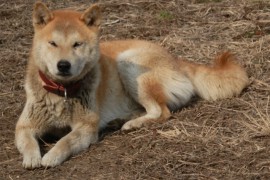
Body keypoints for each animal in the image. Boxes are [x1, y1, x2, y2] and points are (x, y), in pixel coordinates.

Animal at [15, 2, 249, 169]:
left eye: (77, 44)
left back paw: (132, 124)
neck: (62, 91)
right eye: (53, 43)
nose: (63, 65)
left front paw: (52, 156)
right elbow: (27, 141)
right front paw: (32, 158)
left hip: (128, 64)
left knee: (160, 111)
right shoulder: (25, 126)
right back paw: (119, 121)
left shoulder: (86, 127)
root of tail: (175, 59)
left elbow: (66, 140)